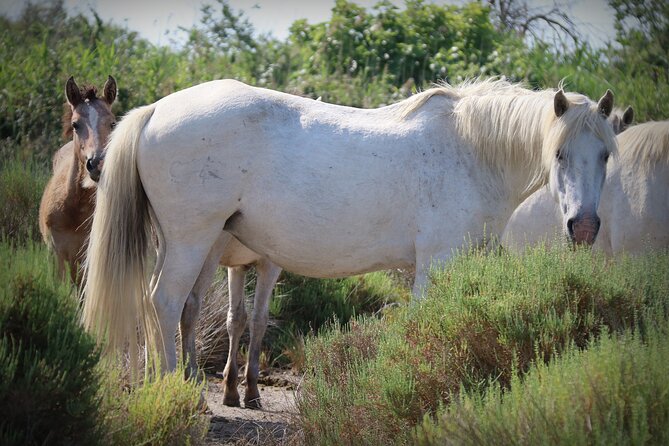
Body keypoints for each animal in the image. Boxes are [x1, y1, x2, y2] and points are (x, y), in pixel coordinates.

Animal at [82, 78, 617, 398]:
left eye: (605, 155)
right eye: (559, 153)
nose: (585, 227)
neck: (470, 151)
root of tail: (155, 110)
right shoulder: (435, 264)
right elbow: (424, 326)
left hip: (181, 244)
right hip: (192, 241)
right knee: (165, 303)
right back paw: (172, 388)